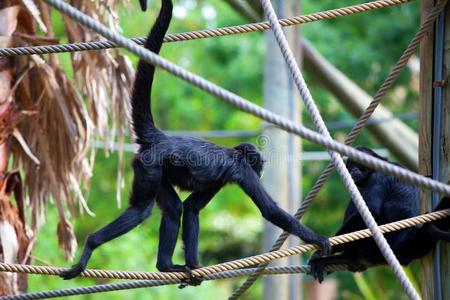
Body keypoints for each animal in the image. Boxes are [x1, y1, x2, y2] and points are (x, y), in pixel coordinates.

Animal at [59, 0, 330, 278]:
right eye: (260, 164)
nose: (263, 169)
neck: (232, 153)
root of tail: (161, 137)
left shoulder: (219, 180)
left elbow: (191, 208)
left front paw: (194, 268)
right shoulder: (241, 171)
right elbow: (271, 211)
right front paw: (320, 239)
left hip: (157, 170)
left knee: (174, 208)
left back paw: (165, 265)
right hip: (149, 165)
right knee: (140, 210)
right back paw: (92, 243)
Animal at [310, 146, 450, 282]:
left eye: (359, 164)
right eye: (351, 165)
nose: (354, 170)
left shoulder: (379, 177)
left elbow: (373, 211)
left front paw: (327, 248)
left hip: (373, 245)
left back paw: (346, 256)